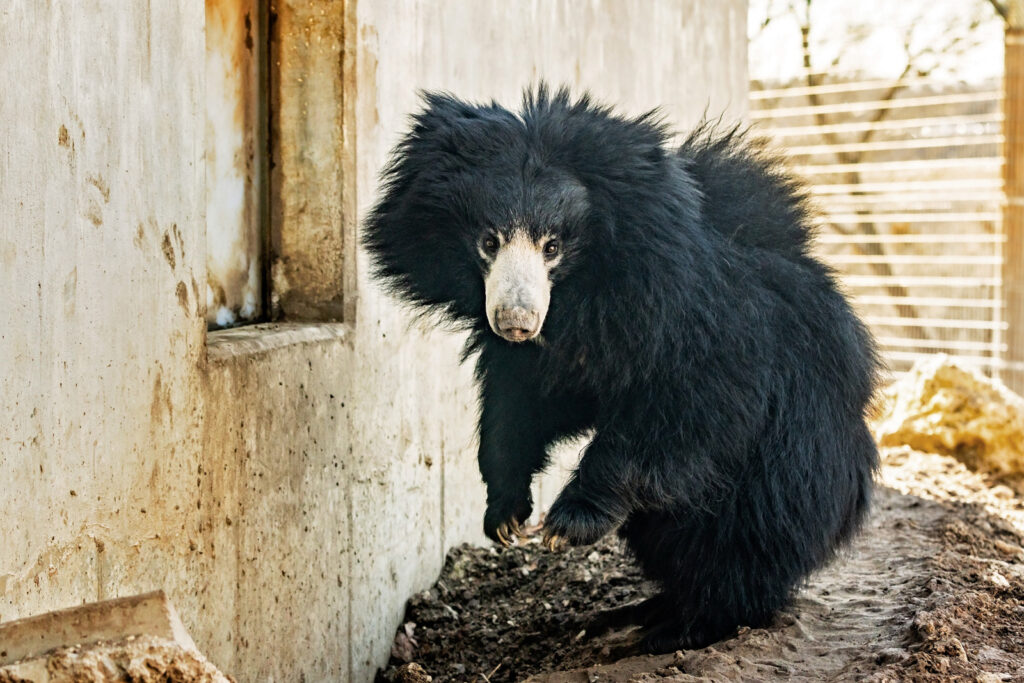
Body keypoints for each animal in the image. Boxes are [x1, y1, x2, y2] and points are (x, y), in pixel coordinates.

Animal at [362, 85, 881, 653]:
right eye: (489, 240)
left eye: (552, 245)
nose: (516, 322)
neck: (587, 294)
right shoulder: (551, 352)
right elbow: (524, 407)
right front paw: (505, 515)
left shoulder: (700, 323)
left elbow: (689, 409)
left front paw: (565, 523)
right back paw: (642, 612)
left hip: (792, 463)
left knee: (741, 538)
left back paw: (685, 629)